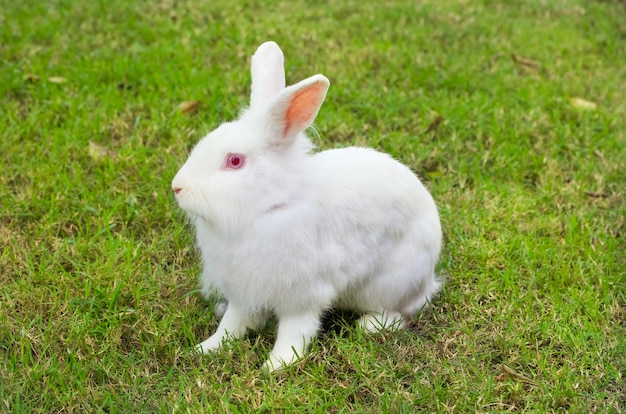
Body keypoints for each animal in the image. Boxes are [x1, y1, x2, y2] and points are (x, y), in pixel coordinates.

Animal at [171, 41, 442, 372]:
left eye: (234, 161)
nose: (177, 187)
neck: (268, 209)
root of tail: (429, 279)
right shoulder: (243, 293)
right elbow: (232, 324)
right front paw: (206, 349)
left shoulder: (302, 294)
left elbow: (295, 331)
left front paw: (276, 366)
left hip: (391, 283)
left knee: (401, 312)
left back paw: (369, 326)